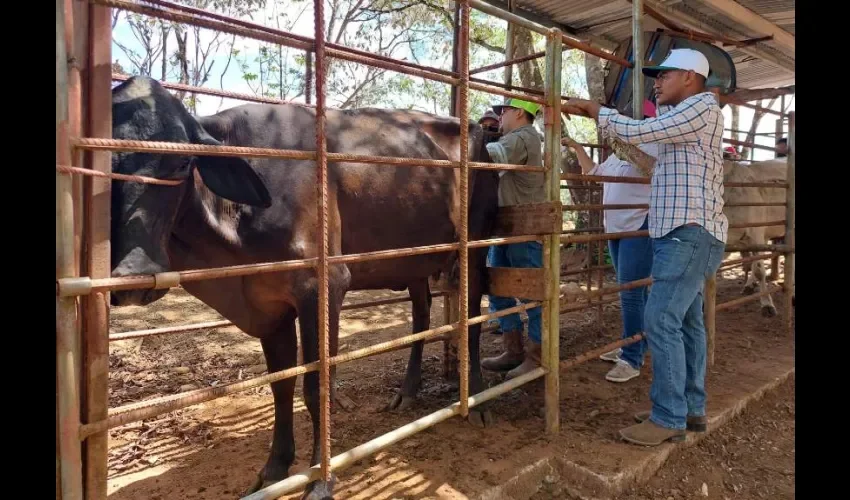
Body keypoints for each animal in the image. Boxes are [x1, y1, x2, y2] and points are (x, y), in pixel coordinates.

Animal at [109, 76, 500, 498]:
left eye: (182, 162)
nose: (132, 275)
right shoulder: (268, 303)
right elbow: (282, 385)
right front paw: (275, 468)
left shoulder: (322, 287)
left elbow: (318, 386)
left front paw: (321, 478)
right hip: (415, 261)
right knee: (422, 317)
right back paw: (408, 391)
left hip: (476, 245)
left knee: (472, 318)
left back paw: (477, 400)